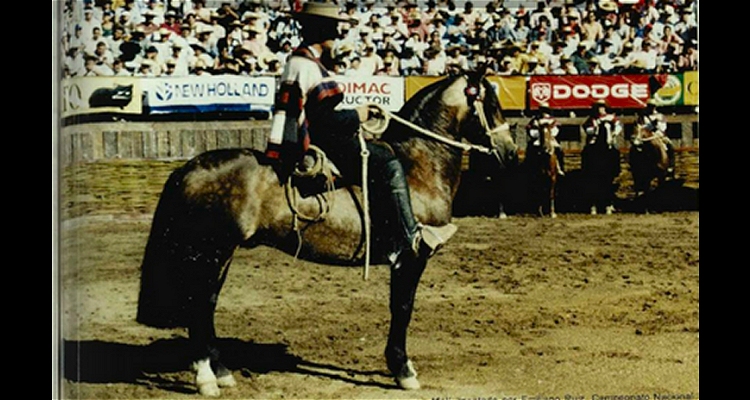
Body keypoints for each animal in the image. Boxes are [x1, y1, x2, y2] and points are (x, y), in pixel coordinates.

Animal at [137, 72, 524, 396]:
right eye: (492, 104)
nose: (510, 153)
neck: (419, 166)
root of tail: (189, 168)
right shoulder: (411, 257)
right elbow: (402, 308)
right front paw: (403, 370)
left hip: (220, 254)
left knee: (207, 305)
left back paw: (221, 372)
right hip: (209, 252)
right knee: (197, 305)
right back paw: (205, 378)